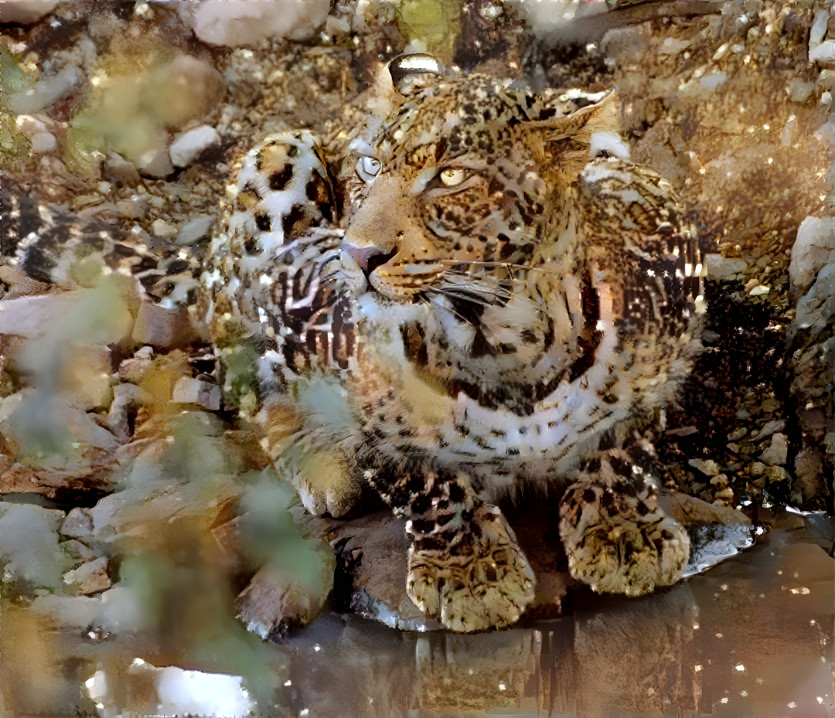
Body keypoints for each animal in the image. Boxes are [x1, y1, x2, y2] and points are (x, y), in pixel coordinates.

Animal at [204, 53, 704, 632]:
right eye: (369, 167)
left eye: (451, 177)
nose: (357, 254)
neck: (505, 345)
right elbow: (419, 479)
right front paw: (470, 570)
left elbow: (626, 440)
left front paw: (626, 531)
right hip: (276, 167)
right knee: (245, 376)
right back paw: (326, 467)